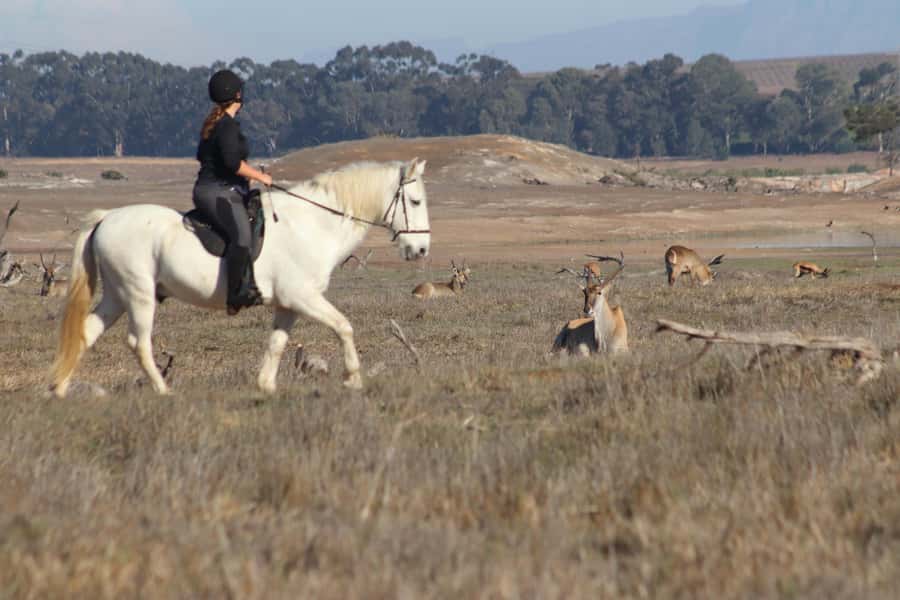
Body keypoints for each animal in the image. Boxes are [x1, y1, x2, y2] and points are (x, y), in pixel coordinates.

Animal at [51, 159, 431, 397]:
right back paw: (163, 390)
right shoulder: (303, 297)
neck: (313, 224)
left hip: (117, 296)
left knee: (85, 333)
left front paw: (265, 386)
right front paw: (353, 378)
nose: (422, 249)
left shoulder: (288, 304)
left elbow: (277, 343)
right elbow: (344, 326)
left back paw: (59, 389)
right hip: (139, 294)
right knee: (139, 342)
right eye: (414, 201)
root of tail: (106, 218)